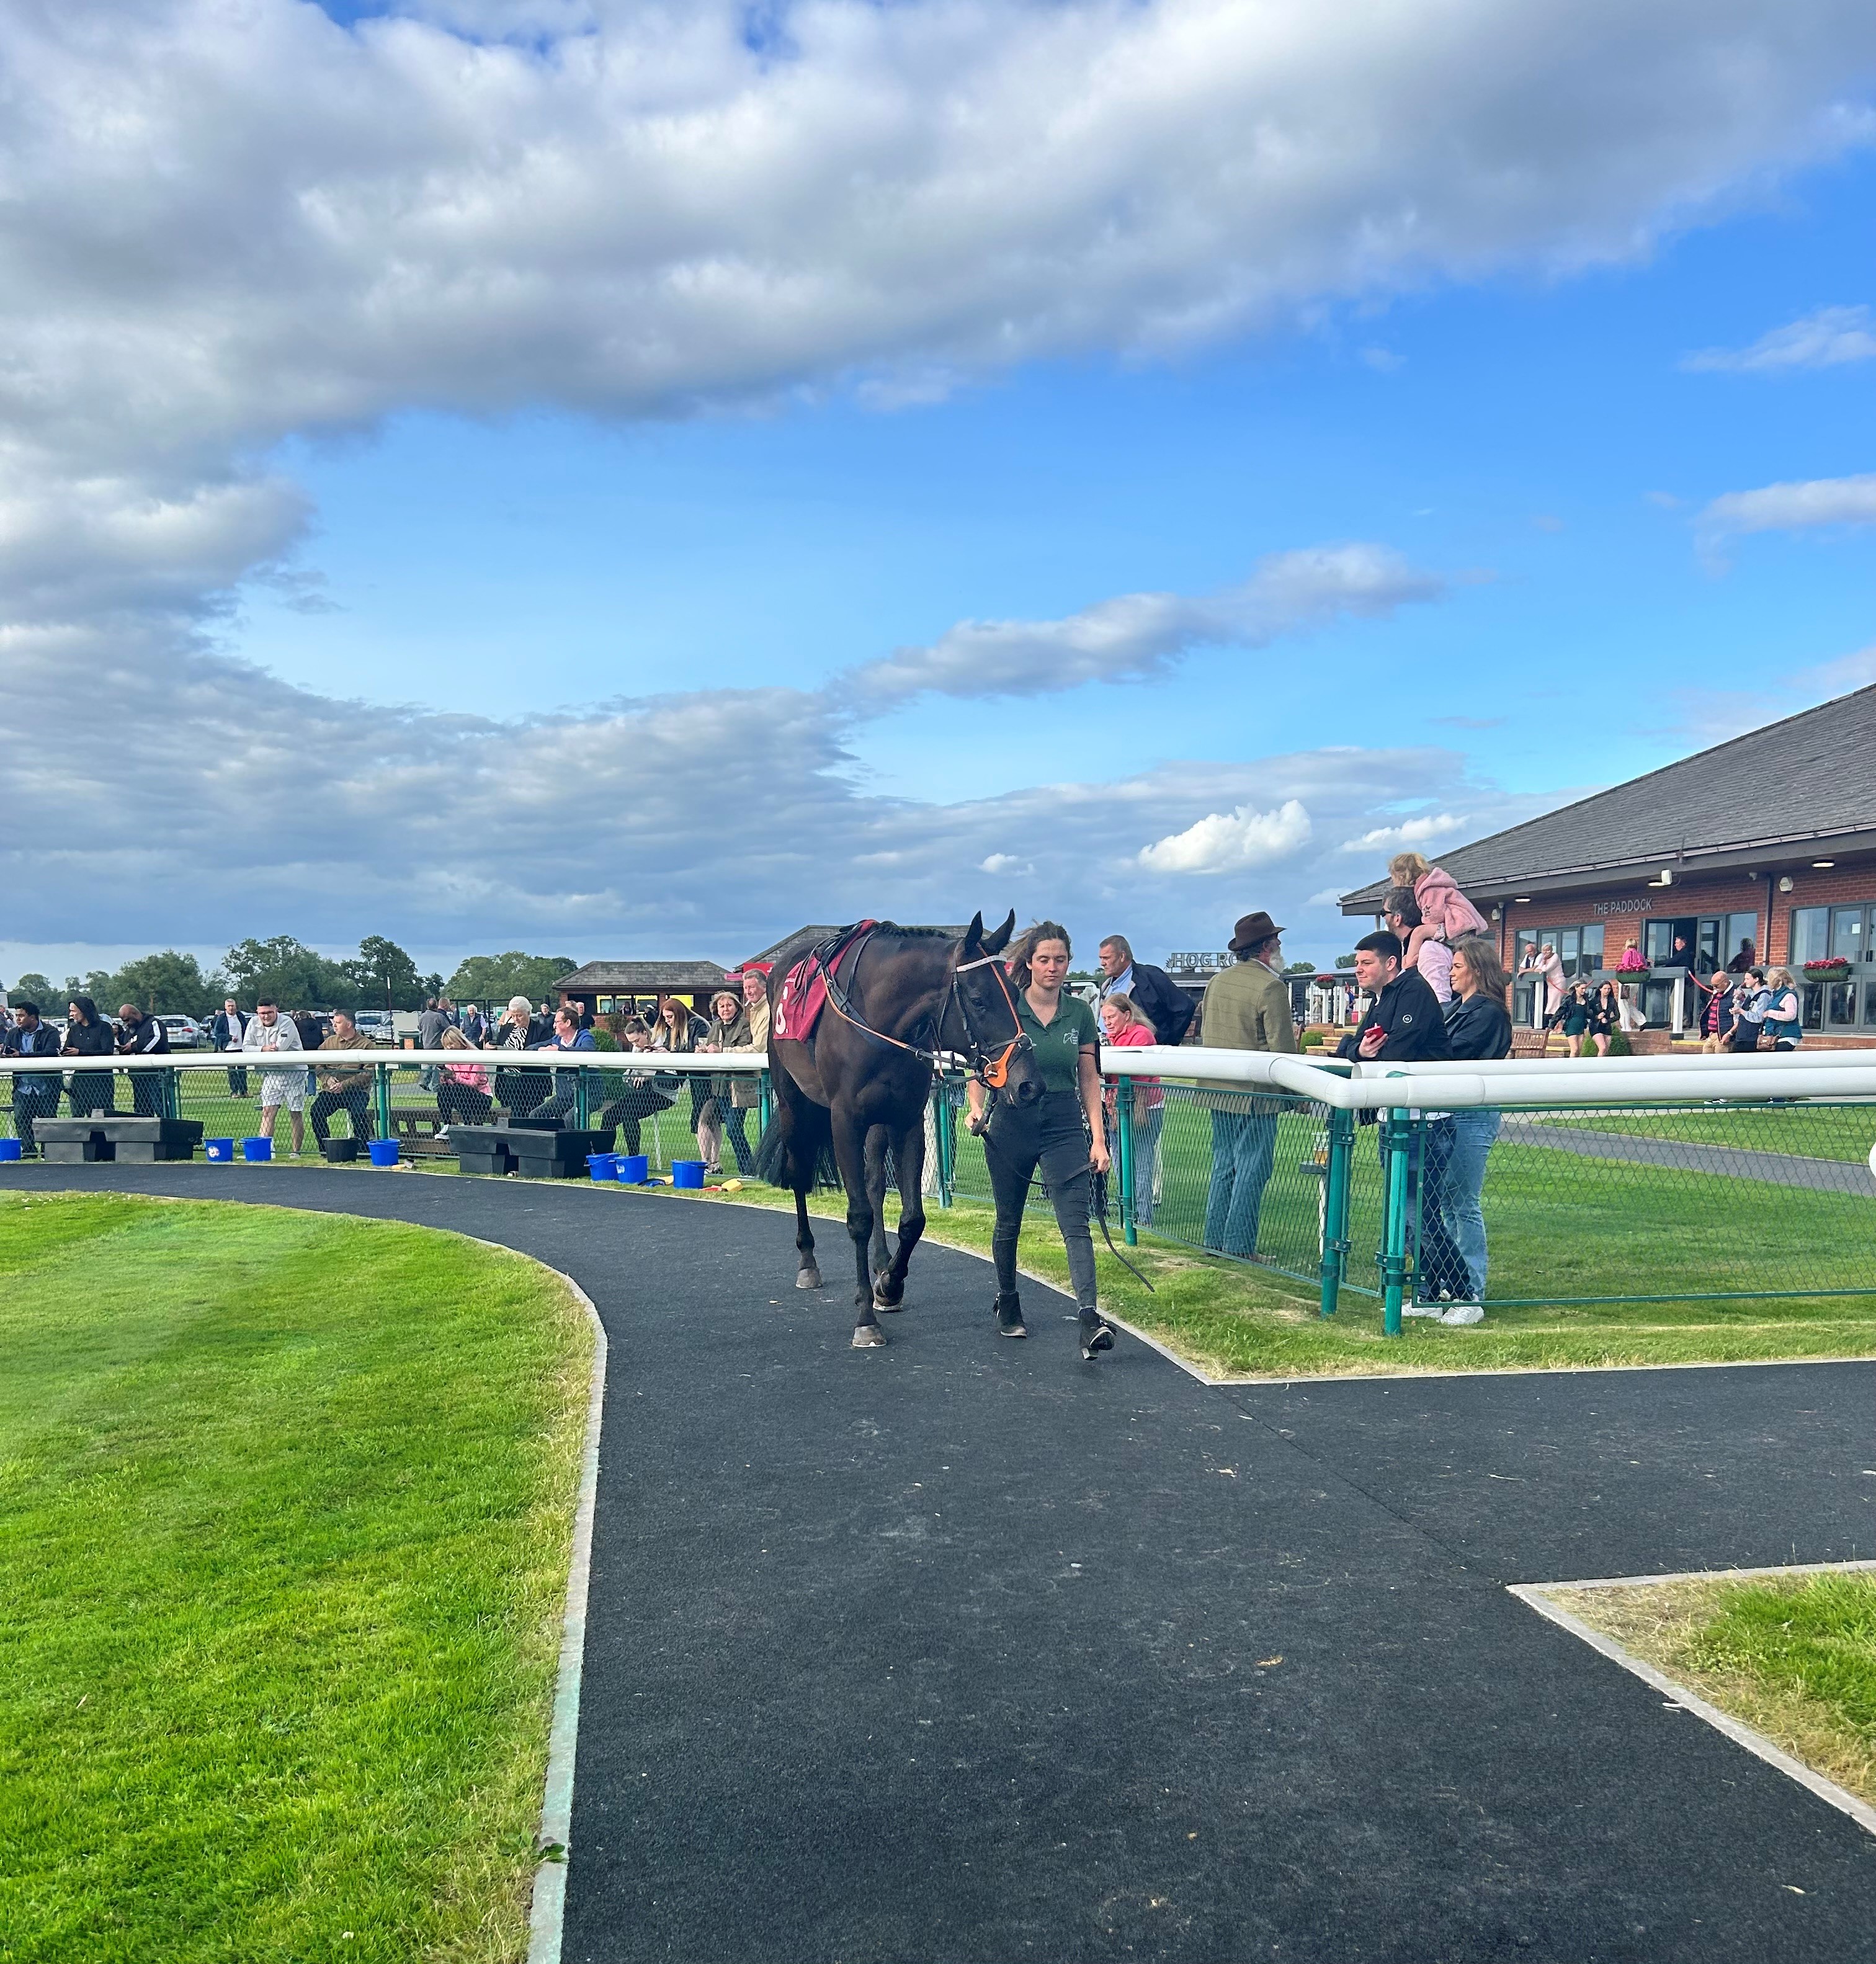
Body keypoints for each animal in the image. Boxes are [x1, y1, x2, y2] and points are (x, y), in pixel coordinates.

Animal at [758, 911, 1053, 1343]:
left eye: (1017, 996)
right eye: (979, 1000)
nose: (1029, 1085)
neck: (879, 1020)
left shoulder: (906, 1119)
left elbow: (913, 1219)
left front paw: (889, 1285)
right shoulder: (845, 1120)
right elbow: (859, 1217)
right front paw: (865, 1318)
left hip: (878, 1123)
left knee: (875, 1183)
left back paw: (881, 1262)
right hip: (792, 1101)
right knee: (799, 1173)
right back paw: (808, 1263)